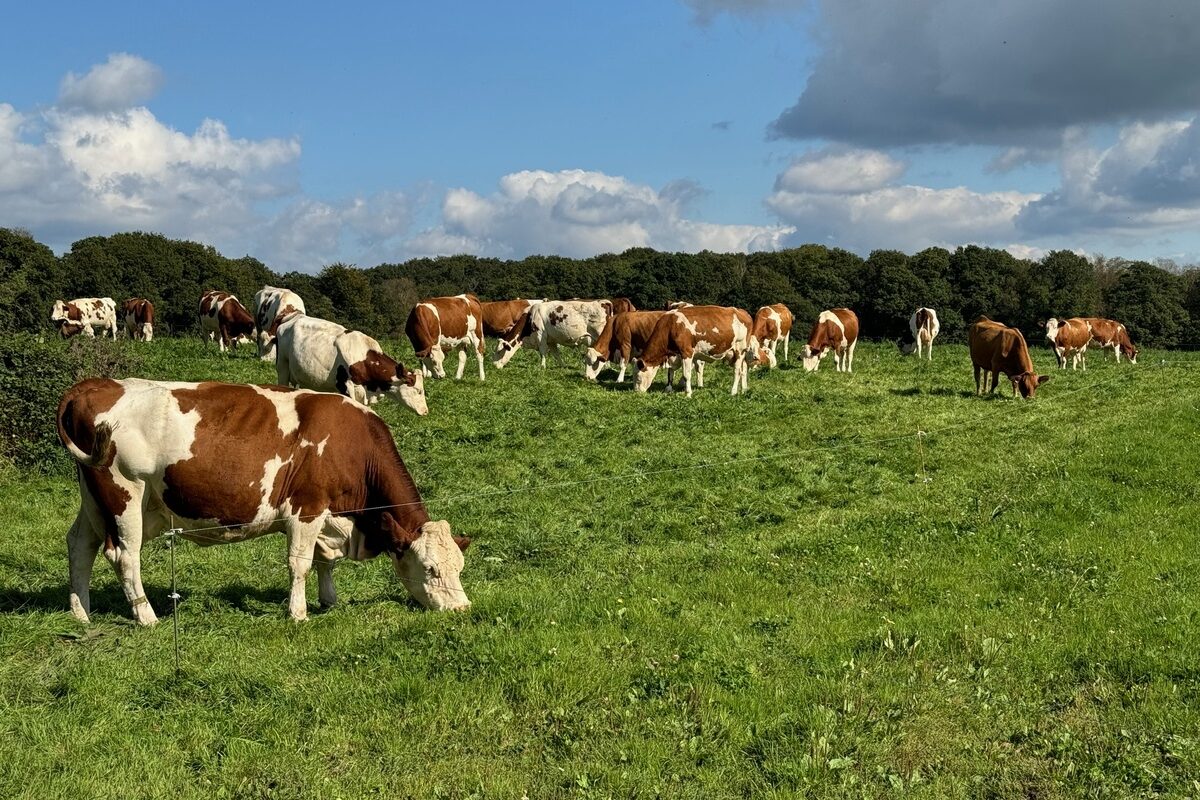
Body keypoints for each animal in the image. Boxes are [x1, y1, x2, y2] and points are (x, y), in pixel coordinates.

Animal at [57, 379, 468, 628]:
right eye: (430, 569)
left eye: (460, 567)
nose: (462, 608)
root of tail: (97, 385)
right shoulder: (307, 508)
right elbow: (300, 564)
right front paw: (298, 613)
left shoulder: (329, 517)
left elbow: (325, 562)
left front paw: (329, 601)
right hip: (124, 495)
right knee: (125, 556)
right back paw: (147, 616)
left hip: (94, 501)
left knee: (79, 545)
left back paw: (81, 613)